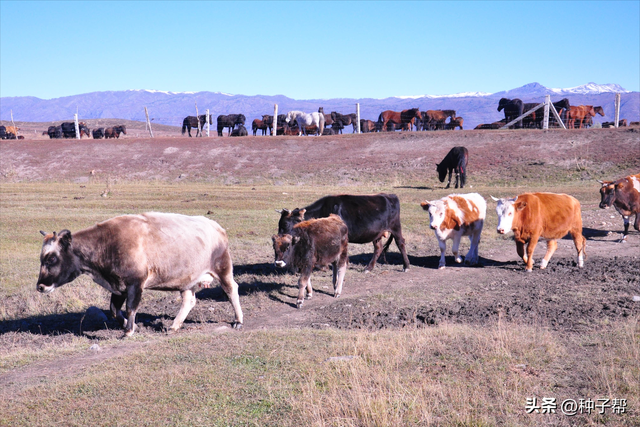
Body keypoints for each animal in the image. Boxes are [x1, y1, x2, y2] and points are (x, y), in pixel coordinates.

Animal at [36, 214, 244, 338]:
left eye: (52, 258)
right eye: (42, 258)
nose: (40, 286)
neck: (107, 243)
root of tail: (216, 227)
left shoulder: (135, 284)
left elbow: (130, 308)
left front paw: (128, 331)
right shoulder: (118, 287)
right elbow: (114, 310)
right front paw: (130, 326)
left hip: (223, 268)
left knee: (231, 290)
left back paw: (238, 321)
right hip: (187, 281)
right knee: (189, 300)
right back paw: (174, 325)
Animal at [276, 193, 410, 270]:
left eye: (285, 224)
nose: (279, 238)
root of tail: (390, 195)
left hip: (395, 227)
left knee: (401, 243)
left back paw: (406, 266)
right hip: (377, 234)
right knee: (378, 248)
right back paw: (369, 268)